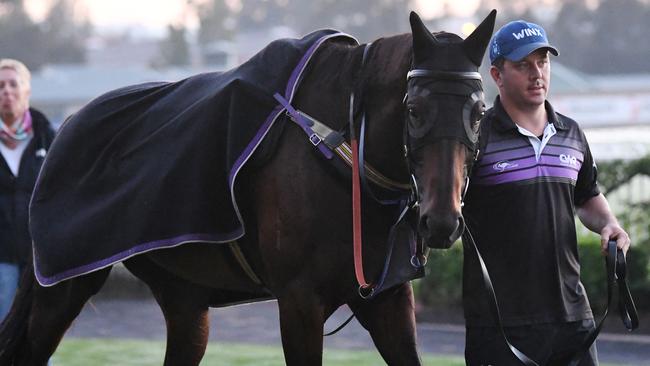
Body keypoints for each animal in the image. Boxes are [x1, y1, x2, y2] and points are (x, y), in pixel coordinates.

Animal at [0, 10, 494, 364]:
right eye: (414, 109)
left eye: (479, 112)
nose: (441, 221)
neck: (341, 151)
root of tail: (64, 129)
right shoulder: (299, 302)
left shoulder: (387, 299)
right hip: (62, 286)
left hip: (183, 296)